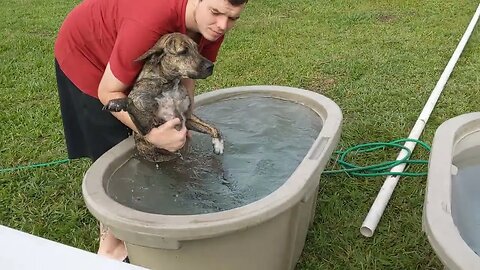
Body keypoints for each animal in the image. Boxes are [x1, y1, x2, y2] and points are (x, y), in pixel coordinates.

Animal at [103, 32, 223, 162]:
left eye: (197, 48)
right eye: (183, 51)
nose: (211, 66)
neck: (169, 85)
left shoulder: (187, 117)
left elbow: (211, 127)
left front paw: (218, 144)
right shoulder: (147, 127)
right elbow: (130, 101)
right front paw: (117, 103)